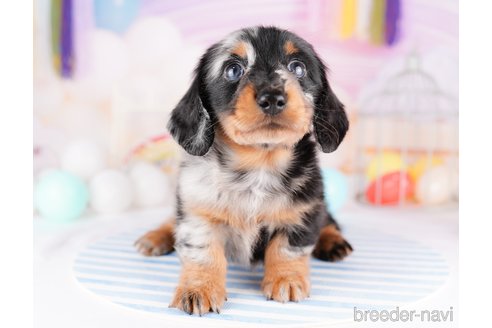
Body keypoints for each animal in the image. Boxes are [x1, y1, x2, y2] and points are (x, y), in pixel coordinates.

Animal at [135, 26, 354, 316]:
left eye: (298, 67)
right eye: (233, 70)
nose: (272, 98)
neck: (258, 164)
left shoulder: (303, 211)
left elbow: (287, 248)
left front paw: (286, 278)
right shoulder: (197, 213)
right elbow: (203, 253)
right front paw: (199, 288)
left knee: (329, 221)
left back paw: (333, 241)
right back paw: (154, 237)